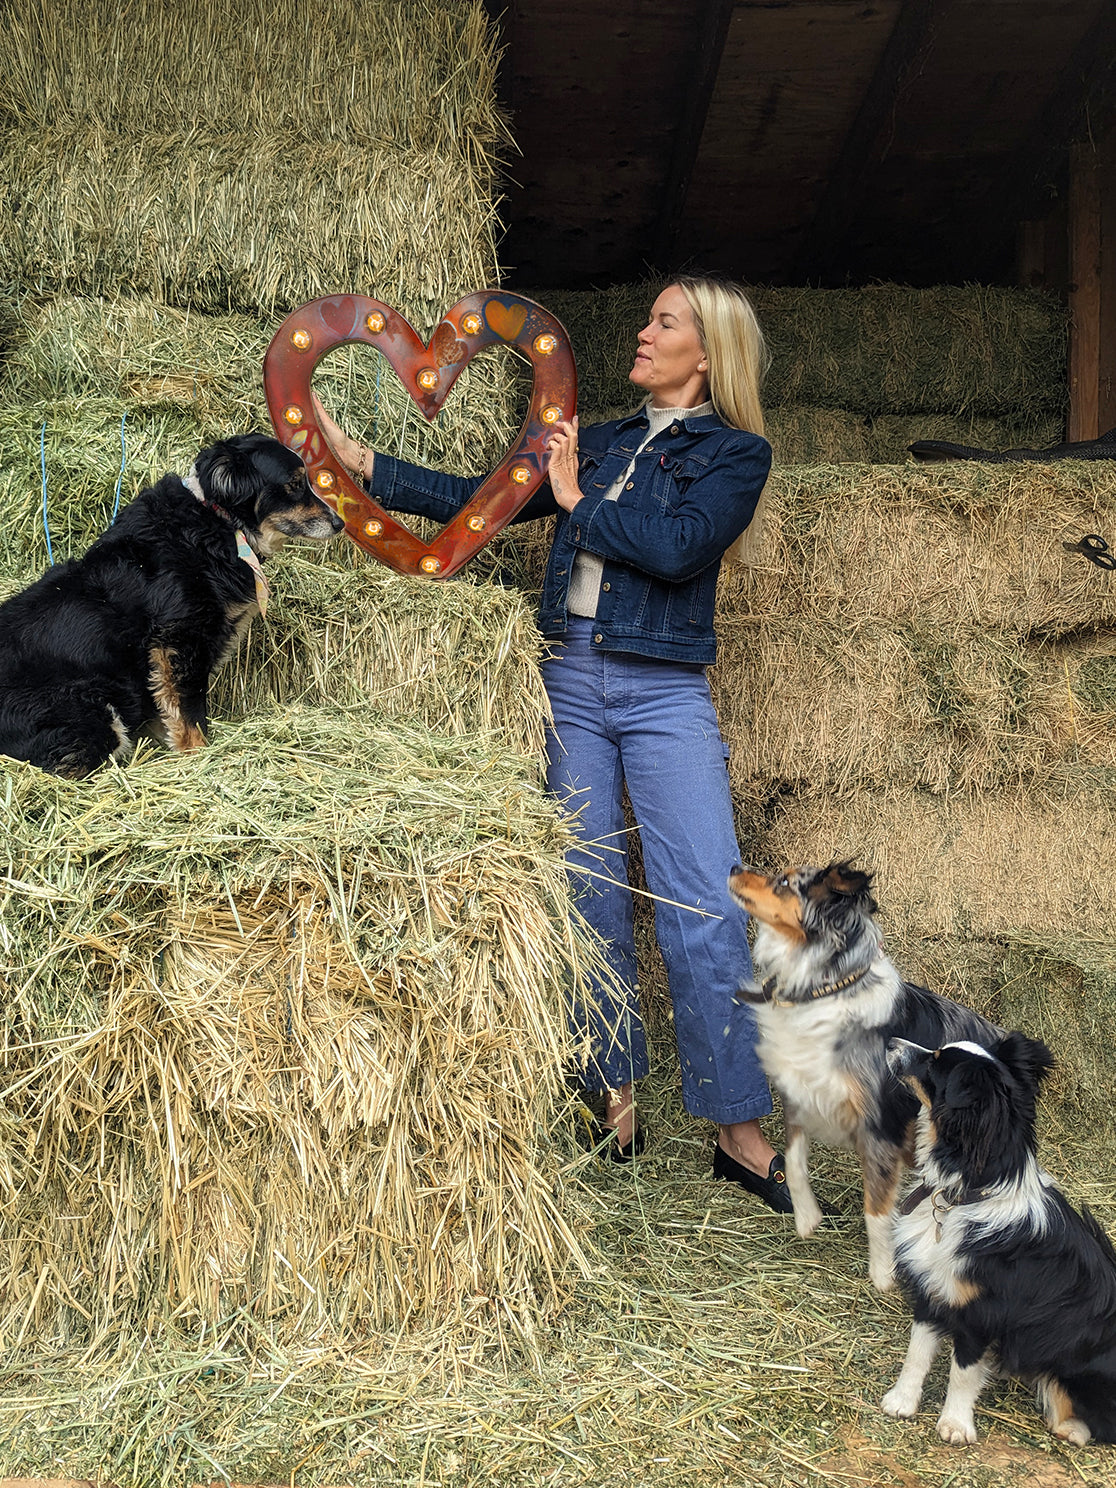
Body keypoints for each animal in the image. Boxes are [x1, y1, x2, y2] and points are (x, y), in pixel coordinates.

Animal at [0, 431, 345, 779]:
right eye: (294, 484)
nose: (340, 523)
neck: (218, 522)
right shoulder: (180, 641)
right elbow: (190, 712)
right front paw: (199, 757)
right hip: (95, 710)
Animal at [726, 863, 1005, 1291]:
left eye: (786, 882)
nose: (734, 867)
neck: (823, 991)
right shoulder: (800, 1095)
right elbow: (793, 1164)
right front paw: (807, 1217)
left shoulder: (880, 1126)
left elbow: (875, 1209)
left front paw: (883, 1273)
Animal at [880, 1035, 1116, 1440]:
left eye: (935, 1062)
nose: (892, 1040)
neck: (963, 1195)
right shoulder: (933, 1288)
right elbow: (917, 1352)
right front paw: (902, 1401)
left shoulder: (981, 1314)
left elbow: (962, 1372)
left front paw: (955, 1424)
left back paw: (1071, 1428)